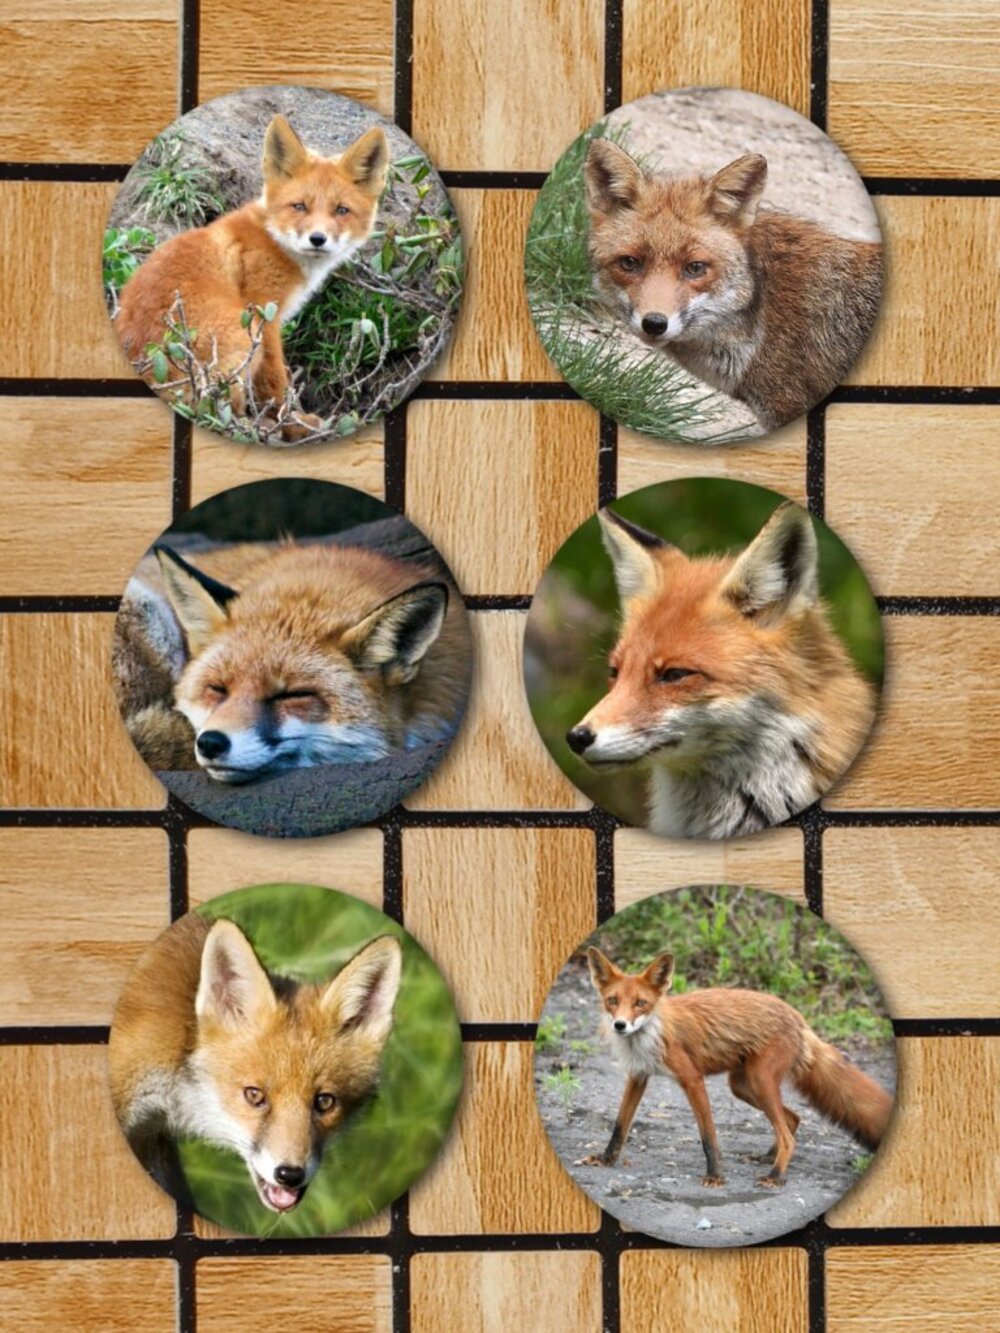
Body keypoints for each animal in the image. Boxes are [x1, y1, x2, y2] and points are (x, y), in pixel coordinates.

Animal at [115, 115, 389, 440]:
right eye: (300, 206)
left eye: (341, 210)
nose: (318, 239)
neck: (273, 239)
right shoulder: (263, 315)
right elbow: (275, 381)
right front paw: (294, 424)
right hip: (241, 338)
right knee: (219, 409)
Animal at [584, 948, 892, 1188]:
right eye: (613, 1001)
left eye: (640, 1003)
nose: (620, 1025)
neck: (650, 1033)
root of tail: (798, 1018)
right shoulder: (638, 1076)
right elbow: (620, 1126)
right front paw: (605, 1159)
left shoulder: (692, 1079)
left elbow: (708, 1135)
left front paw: (716, 1176)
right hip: (742, 1086)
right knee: (792, 1120)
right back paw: (768, 1158)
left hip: (760, 1081)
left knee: (787, 1134)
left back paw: (776, 1175)